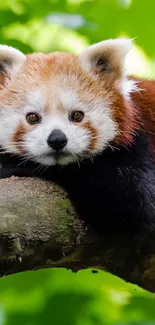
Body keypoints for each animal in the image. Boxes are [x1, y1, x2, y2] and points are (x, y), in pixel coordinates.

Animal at [0, 39, 154, 238]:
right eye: (32, 117)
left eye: (77, 115)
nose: (57, 140)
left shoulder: (137, 146)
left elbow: (132, 202)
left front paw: (11, 164)